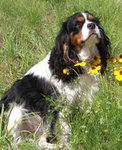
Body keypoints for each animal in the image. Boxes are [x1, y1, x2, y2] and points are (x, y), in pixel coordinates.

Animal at [0, 10, 110, 149]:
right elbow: (66, 129)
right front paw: (68, 144)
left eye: (94, 21)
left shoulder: (88, 94)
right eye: (77, 24)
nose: (92, 25)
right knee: (22, 142)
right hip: (17, 111)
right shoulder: (61, 106)